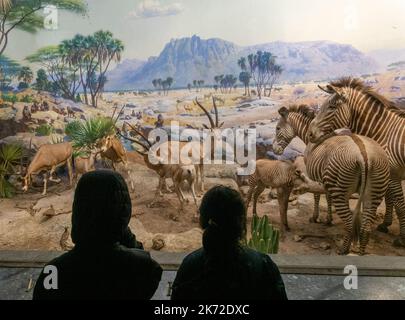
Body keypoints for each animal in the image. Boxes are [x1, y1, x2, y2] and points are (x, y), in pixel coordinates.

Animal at [274, 105, 390, 255]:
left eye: (277, 128)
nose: (274, 150)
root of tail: (363, 154)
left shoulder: (315, 177)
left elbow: (317, 196)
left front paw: (316, 217)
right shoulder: (327, 179)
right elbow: (327, 197)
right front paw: (328, 219)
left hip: (340, 189)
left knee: (349, 222)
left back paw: (343, 250)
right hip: (374, 191)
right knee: (366, 226)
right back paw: (361, 252)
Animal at [306, 77, 404, 248]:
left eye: (331, 107)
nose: (310, 134)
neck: (386, 132)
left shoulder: (393, 175)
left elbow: (399, 205)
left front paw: (401, 238)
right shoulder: (387, 176)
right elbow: (391, 200)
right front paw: (385, 225)